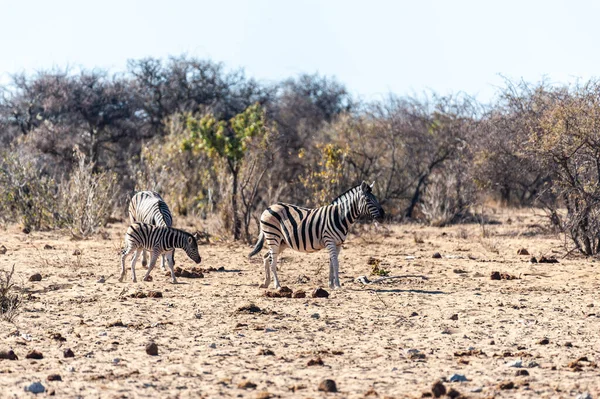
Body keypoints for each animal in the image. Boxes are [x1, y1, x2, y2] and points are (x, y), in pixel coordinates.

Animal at [248, 182, 384, 290]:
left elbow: (331, 262)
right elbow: (336, 263)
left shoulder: (338, 243)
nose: (383, 214)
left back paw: (266, 283)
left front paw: (331, 284)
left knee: (266, 257)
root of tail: (269, 207)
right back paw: (277, 285)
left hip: (282, 241)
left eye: (376, 198)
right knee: (272, 261)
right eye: (368, 200)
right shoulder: (330, 240)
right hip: (273, 236)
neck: (340, 216)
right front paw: (338, 285)